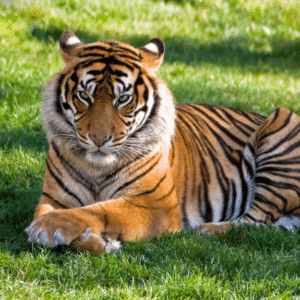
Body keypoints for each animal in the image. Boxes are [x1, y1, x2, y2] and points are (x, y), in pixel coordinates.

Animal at [25, 30, 300, 254]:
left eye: (123, 99)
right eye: (84, 95)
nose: (99, 140)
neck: (97, 167)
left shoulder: (154, 204)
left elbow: (98, 210)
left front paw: (47, 228)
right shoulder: (54, 198)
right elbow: (56, 212)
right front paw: (96, 241)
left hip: (283, 121)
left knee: (255, 218)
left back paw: (208, 229)